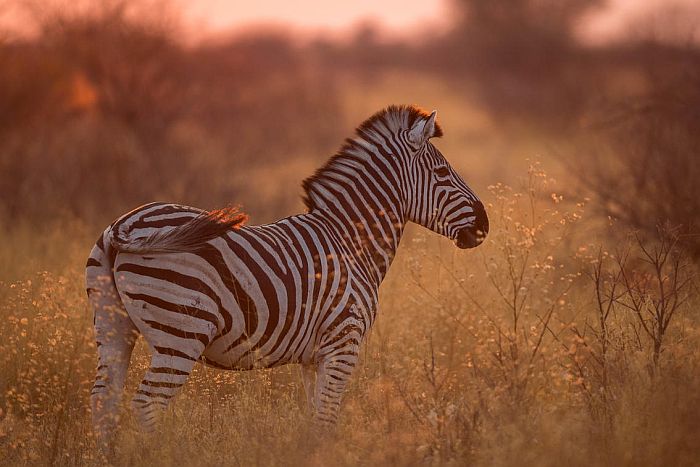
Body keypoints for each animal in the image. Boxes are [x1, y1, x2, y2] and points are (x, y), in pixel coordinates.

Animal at [86, 105, 486, 450]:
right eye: (442, 173)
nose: (485, 224)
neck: (351, 242)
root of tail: (124, 224)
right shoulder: (344, 343)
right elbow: (326, 420)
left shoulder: (313, 356)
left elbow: (315, 420)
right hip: (181, 332)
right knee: (146, 404)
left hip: (113, 326)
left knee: (104, 402)